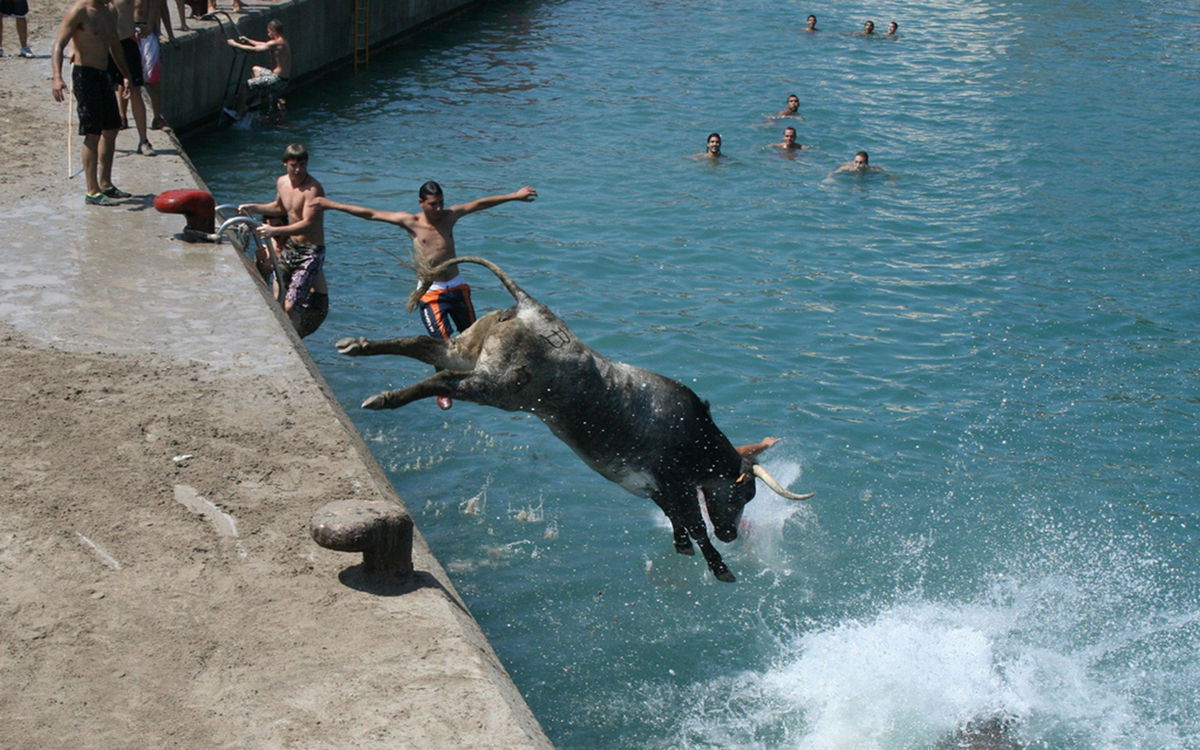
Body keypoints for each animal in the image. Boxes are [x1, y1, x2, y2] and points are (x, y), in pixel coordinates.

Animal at [335, 256, 813, 582]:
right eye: (745, 493)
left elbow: (682, 524)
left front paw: (685, 550)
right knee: (445, 380)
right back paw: (382, 397)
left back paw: (357, 346)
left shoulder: (658, 488)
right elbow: (695, 524)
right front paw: (721, 567)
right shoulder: (674, 483)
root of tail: (530, 307)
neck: (696, 437)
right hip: (497, 385)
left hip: (469, 348)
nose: (732, 534)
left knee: (423, 347)